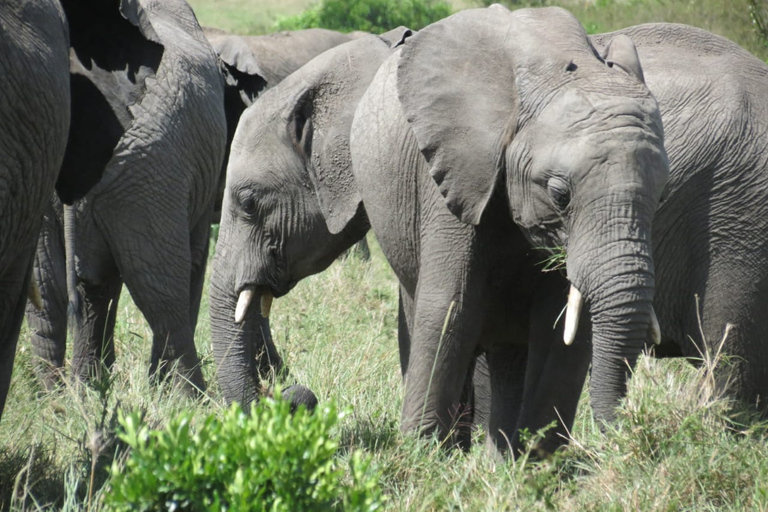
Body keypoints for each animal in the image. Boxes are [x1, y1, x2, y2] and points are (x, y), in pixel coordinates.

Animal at [24, 0, 228, 394]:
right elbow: (192, 262)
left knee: (50, 291)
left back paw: (57, 396)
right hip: (150, 173)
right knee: (163, 291)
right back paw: (192, 398)